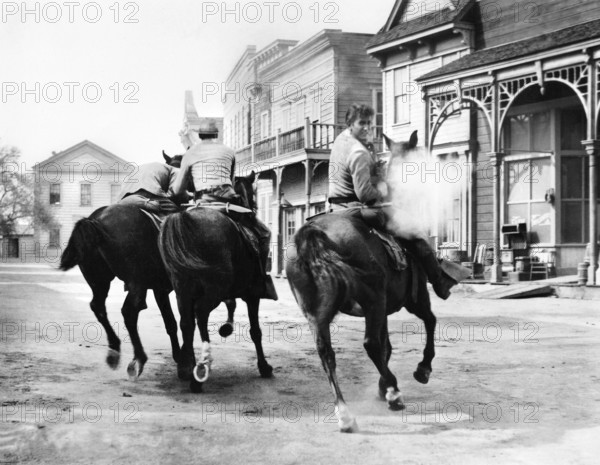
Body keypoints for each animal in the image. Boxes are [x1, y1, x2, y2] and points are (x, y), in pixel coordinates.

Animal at [158, 171, 274, 392]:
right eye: (253, 194)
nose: (252, 211)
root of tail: (185, 218)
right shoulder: (252, 295)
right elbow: (255, 331)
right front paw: (264, 366)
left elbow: (231, 305)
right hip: (213, 288)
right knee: (201, 314)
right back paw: (199, 371)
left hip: (182, 288)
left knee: (187, 322)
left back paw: (187, 367)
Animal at [284, 130, 438, 432]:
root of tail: (310, 233)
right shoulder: (413, 301)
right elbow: (429, 322)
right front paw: (421, 370)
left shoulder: (384, 309)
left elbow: (388, 346)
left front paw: (383, 386)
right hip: (373, 300)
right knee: (370, 344)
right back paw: (394, 393)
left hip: (318, 315)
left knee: (327, 354)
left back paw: (346, 413)